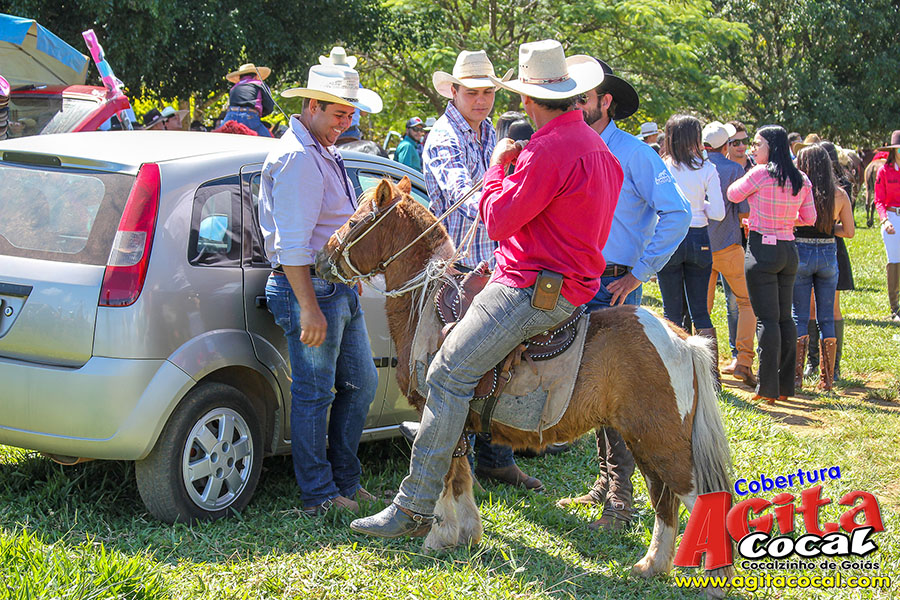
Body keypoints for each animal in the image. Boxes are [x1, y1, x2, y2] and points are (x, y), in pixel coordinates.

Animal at [318, 177, 734, 592]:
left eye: (354, 221)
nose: (322, 259)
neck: (427, 304)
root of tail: (682, 340)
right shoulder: (457, 420)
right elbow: (460, 475)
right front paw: (465, 533)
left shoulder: (437, 404)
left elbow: (443, 471)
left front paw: (437, 536)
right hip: (644, 439)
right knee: (665, 499)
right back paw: (652, 566)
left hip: (661, 440)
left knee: (697, 497)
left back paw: (713, 577)